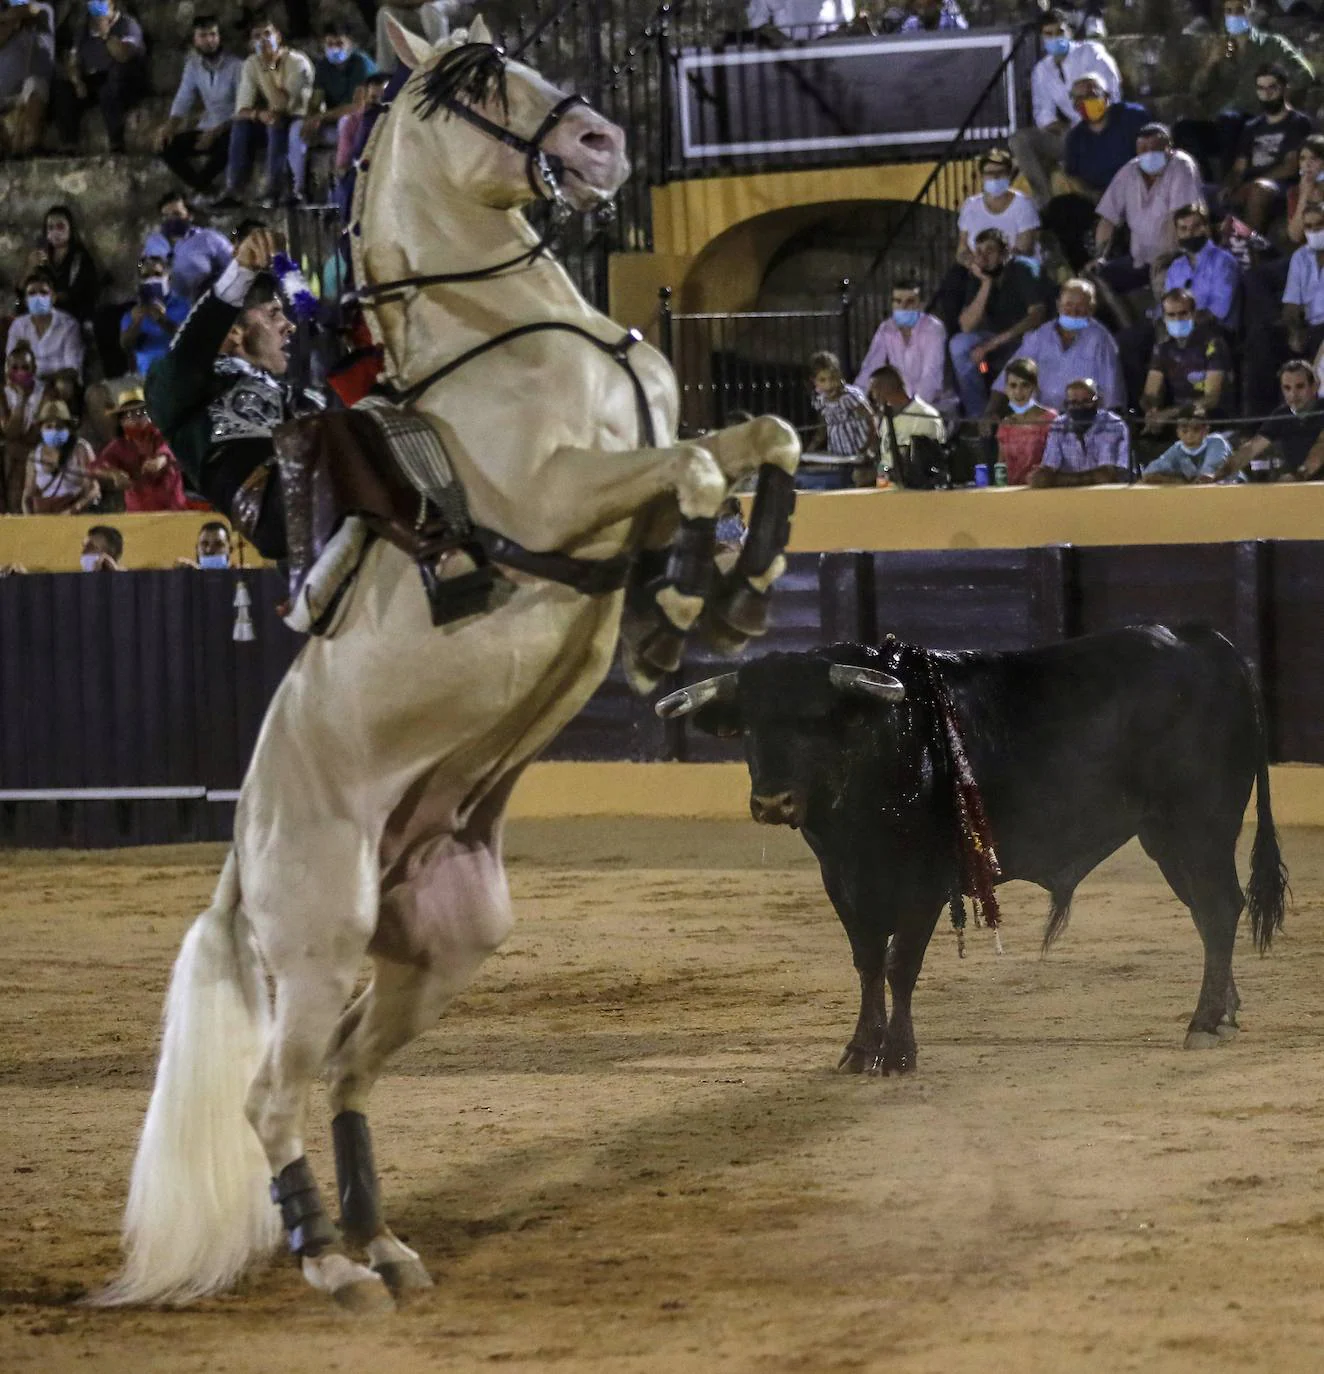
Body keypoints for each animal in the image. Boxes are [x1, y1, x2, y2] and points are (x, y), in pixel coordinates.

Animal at [95, 16, 796, 1313]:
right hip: (320, 942)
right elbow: (690, 472)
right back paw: (327, 1259)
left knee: (349, 1073)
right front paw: (685, 602)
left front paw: (730, 590)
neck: (509, 334)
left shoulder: (655, 454)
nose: (602, 140)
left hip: (449, 936)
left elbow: (756, 440)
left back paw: (381, 1241)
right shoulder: (563, 495)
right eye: (471, 82)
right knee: (274, 1091)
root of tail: (239, 854)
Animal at [656, 626, 1285, 1071]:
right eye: (750, 726)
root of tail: (1207, 641)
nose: (772, 801)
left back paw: (1204, 1023)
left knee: (1220, 910)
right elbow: (867, 961)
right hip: (1169, 837)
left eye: (817, 721)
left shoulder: (926, 884)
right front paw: (860, 1050)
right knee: (1210, 915)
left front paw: (898, 1054)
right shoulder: (841, 879)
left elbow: (900, 964)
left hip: (1198, 826)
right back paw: (1223, 1014)